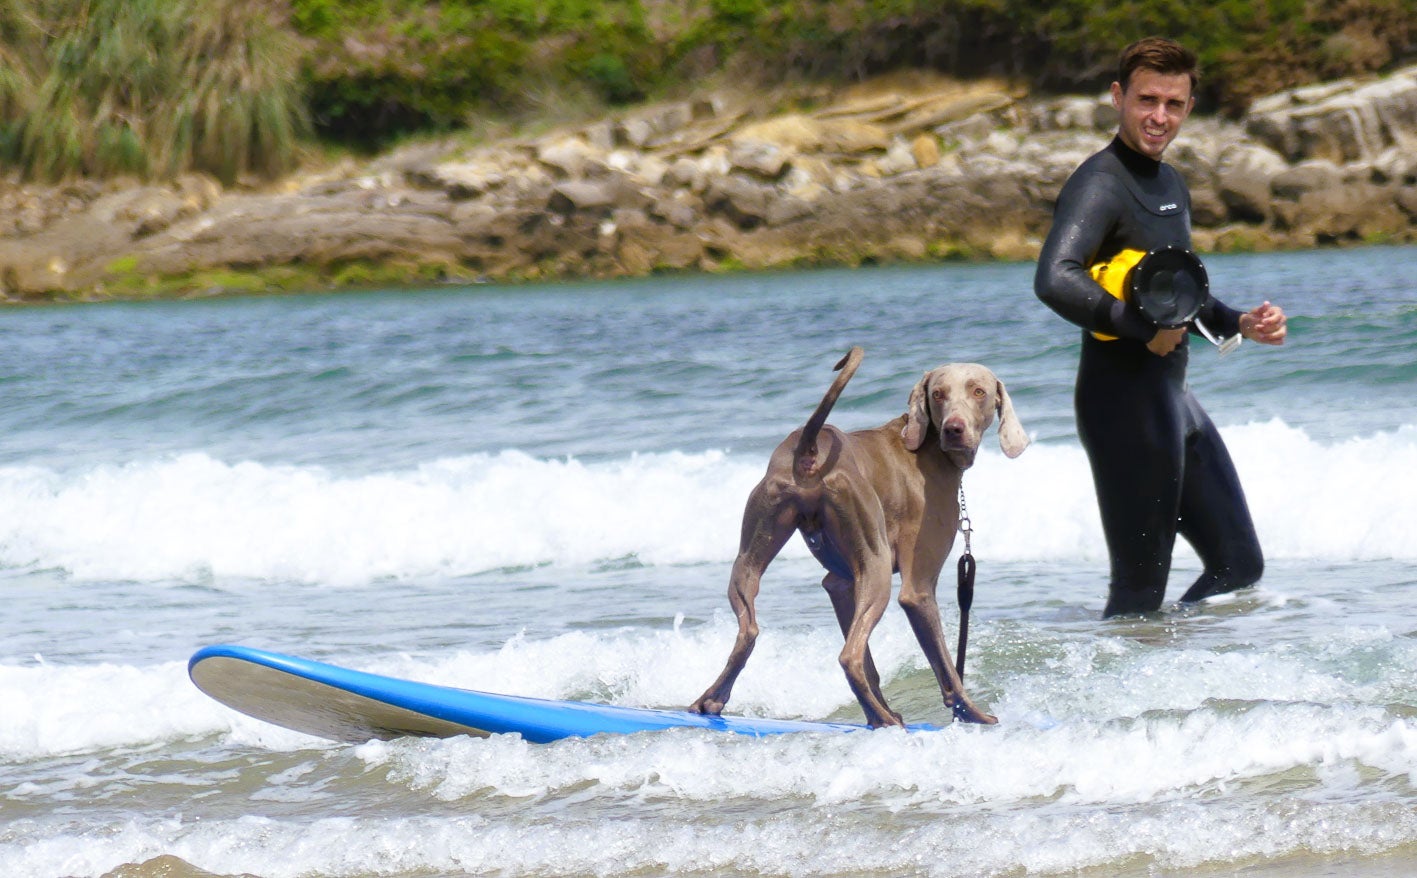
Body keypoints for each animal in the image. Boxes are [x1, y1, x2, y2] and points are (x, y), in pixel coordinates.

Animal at [688, 346, 1031, 725]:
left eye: (978, 391)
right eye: (938, 394)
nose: (954, 429)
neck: (926, 447)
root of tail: (810, 449)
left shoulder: (840, 584)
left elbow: (871, 664)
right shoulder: (918, 588)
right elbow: (946, 667)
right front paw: (973, 714)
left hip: (749, 556)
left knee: (749, 632)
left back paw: (710, 701)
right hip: (876, 567)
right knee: (848, 656)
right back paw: (885, 720)